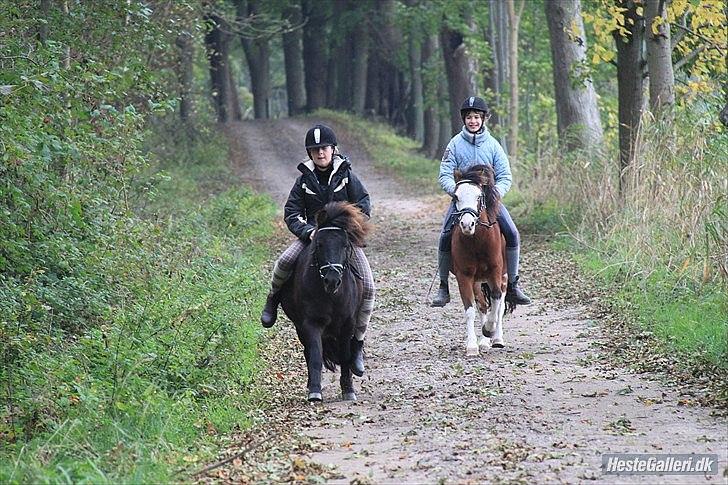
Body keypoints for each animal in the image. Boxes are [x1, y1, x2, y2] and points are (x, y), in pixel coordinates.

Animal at [278, 200, 370, 400]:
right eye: (319, 244)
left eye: (345, 245)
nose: (332, 280)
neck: (331, 295)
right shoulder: (311, 323)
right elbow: (315, 355)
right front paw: (314, 391)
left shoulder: (347, 325)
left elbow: (345, 355)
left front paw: (348, 390)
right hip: (299, 326)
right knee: (307, 351)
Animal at [452, 164, 510, 354]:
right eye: (456, 196)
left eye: (479, 196)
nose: (467, 225)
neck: (476, 241)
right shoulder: (464, 276)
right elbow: (470, 309)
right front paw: (472, 345)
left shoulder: (495, 272)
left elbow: (496, 299)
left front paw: (489, 330)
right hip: (478, 281)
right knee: (483, 305)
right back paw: (484, 342)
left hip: (504, 276)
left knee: (499, 306)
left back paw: (496, 338)